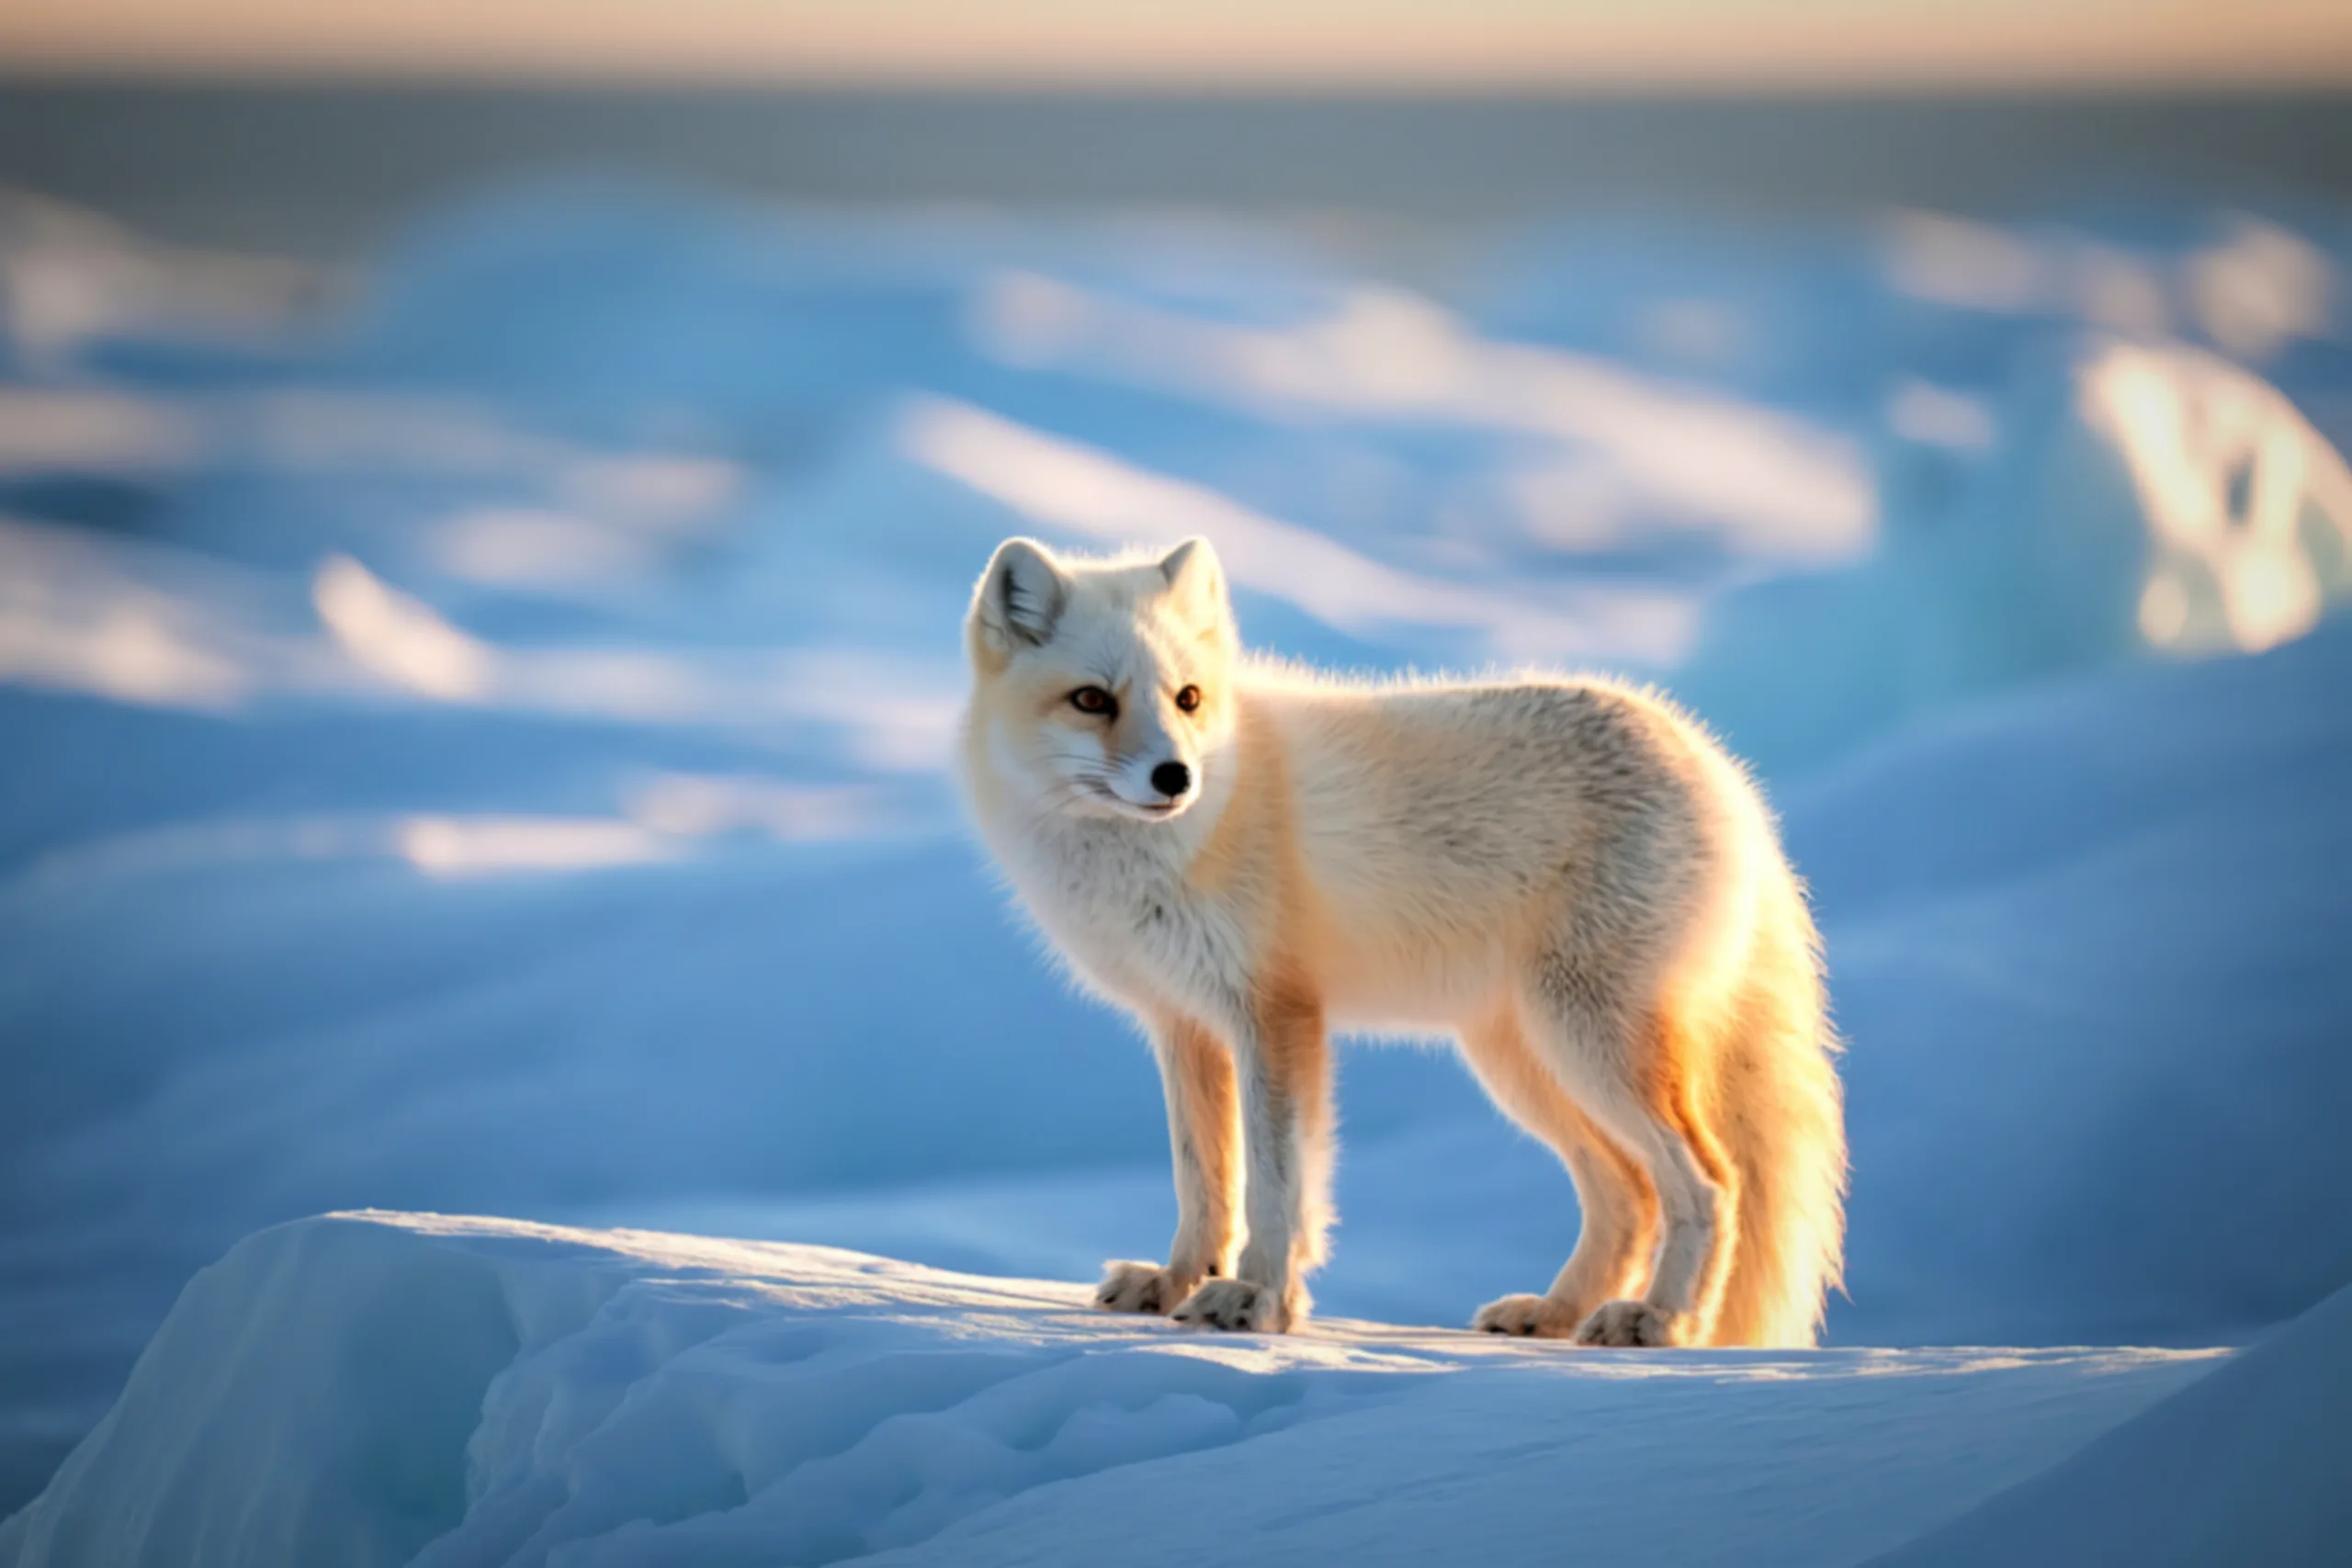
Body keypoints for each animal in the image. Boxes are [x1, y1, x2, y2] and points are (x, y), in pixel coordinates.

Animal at [957, 534, 1846, 1347]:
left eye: (1187, 697)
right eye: (1092, 700)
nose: (1176, 777)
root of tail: (1723, 771)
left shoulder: (1277, 1014)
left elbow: (1278, 1182)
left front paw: (1259, 1300)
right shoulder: (1183, 1023)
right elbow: (1203, 1178)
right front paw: (1176, 1281)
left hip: (1588, 1044)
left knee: (1709, 1184)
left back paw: (1661, 1320)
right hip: (1522, 1060)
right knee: (1629, 1194)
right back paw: (1556, 1313)